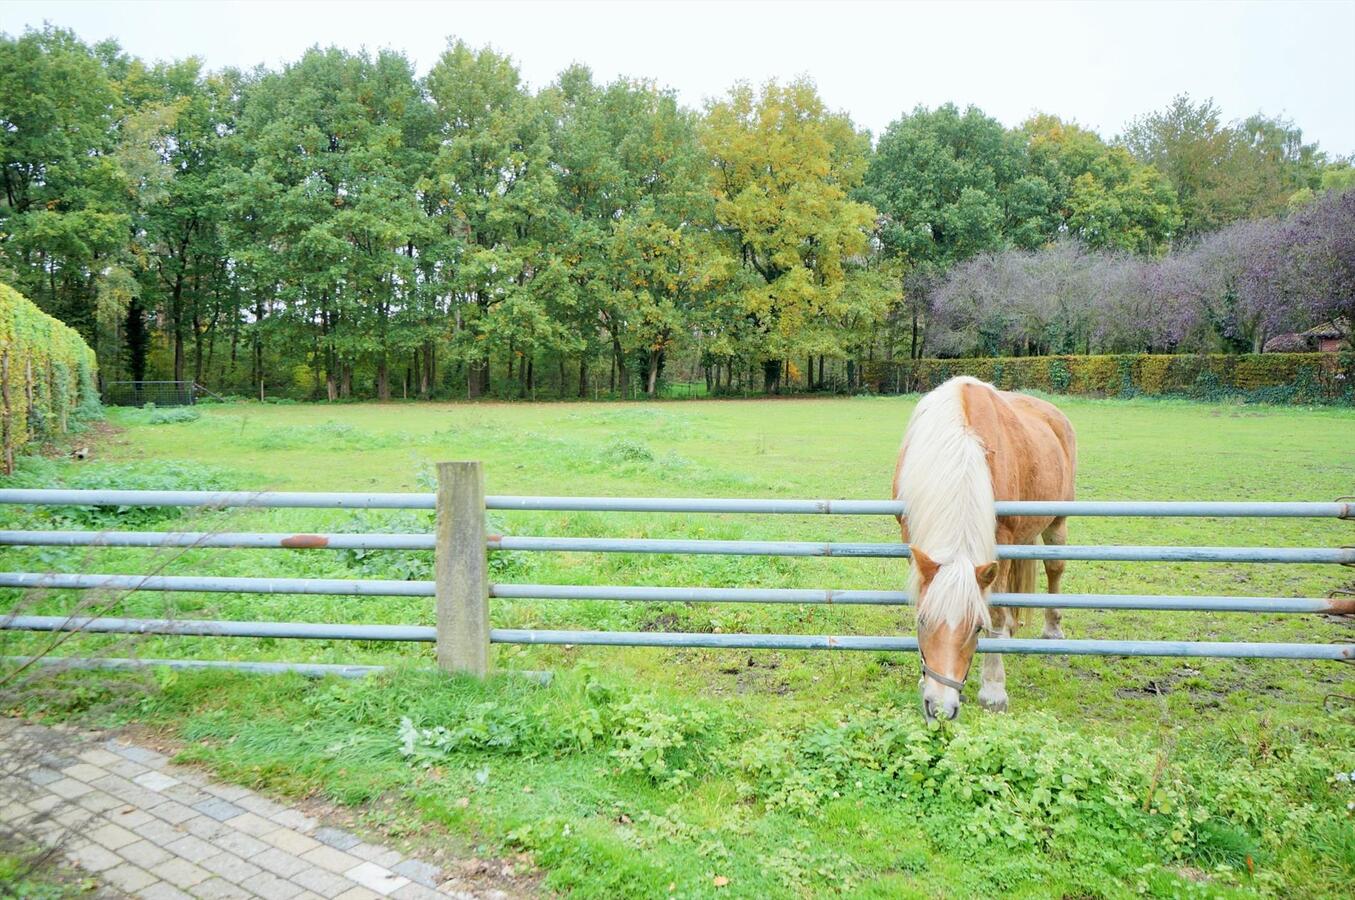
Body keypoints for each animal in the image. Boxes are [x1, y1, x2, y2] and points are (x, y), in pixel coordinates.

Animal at [888, 376, 1078, 721]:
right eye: (922, 621)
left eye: (977, 628)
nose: (940, 708)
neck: (959, 450)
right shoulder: (910, 534)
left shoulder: (1001, 539)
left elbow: (997, 613)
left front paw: (993, 689)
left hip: (1057, 520)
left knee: (1054, 568)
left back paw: (1052, 628)